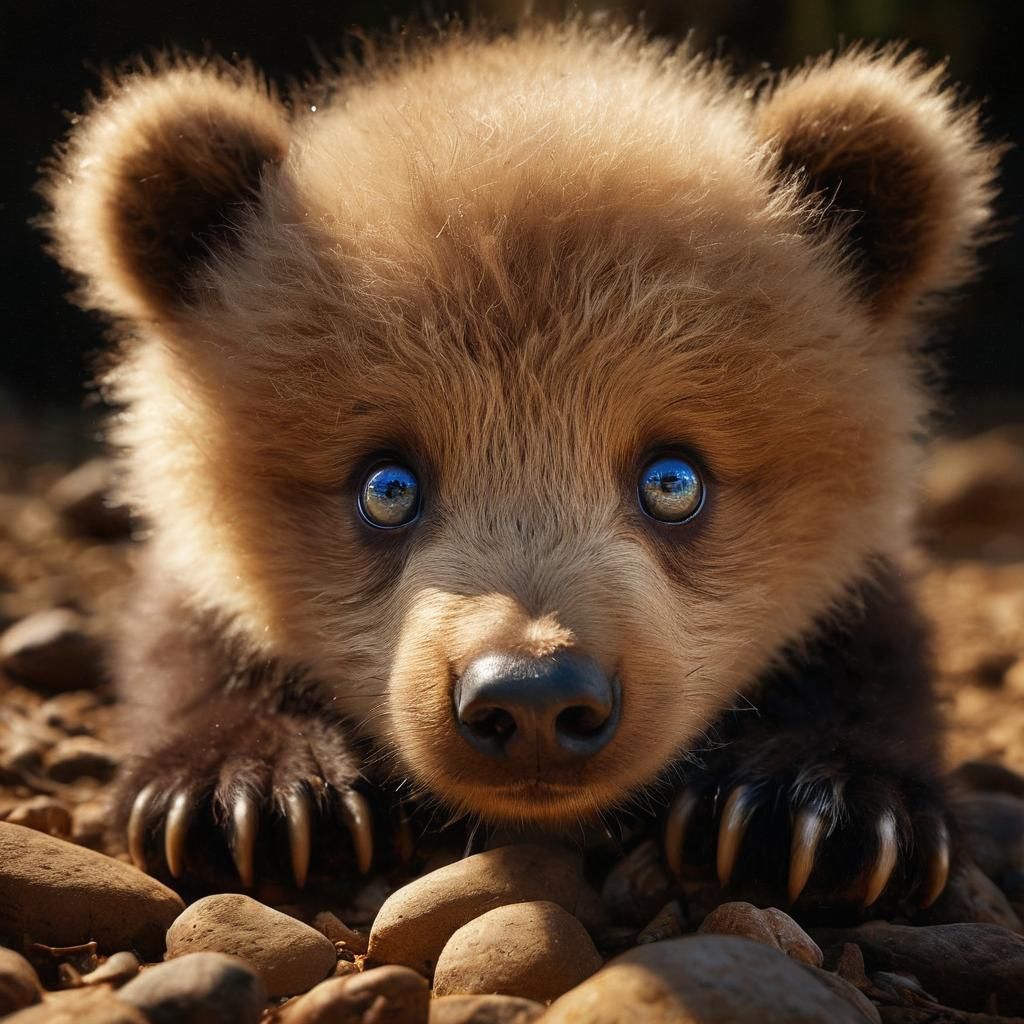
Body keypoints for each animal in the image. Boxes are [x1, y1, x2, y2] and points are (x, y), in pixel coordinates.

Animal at [43, 22, 999, 909]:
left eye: (674, 480)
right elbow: (187, 638)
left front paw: (818, 809)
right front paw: (254, 796)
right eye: (387, 487)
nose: (536, 695)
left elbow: (868, 654)